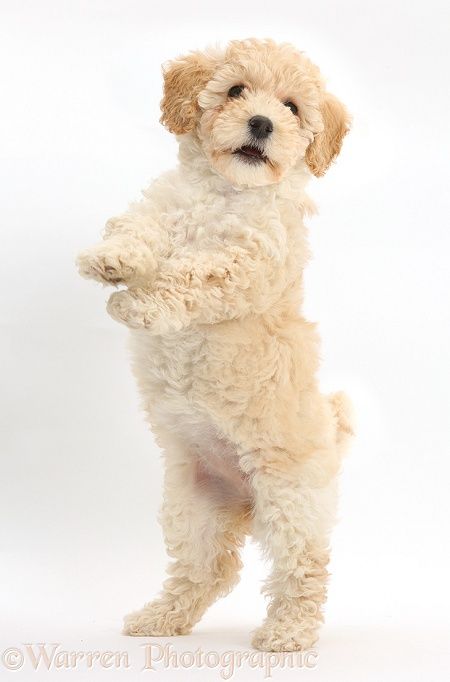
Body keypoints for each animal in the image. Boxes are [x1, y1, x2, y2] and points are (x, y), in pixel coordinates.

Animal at [77, 38, 354, 652]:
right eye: (235, 91)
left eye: (292, 108)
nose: (261, 123)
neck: (224, 191)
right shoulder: (162, 209)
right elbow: (138, 228)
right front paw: (110, 260)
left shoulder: (248, 261)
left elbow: (193, 275)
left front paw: (138, 304)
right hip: (193, 505)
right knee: (209, 569)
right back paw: (160, 619)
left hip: (289, 498)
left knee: (306, 567)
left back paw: (288, 633)